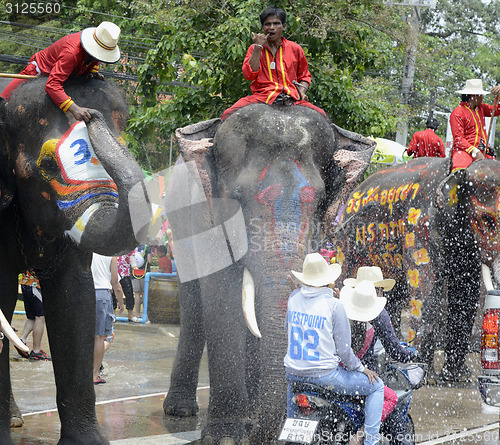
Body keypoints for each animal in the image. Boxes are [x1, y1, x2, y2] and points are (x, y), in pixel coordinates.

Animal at [160, 102, 376, 442]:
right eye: (236, 198)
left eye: (319, 202)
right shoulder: (208, 218)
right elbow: (222, 299)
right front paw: (225, 437)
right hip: (177, 228)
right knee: (193, 304)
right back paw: (181, 411)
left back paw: (250, 414)